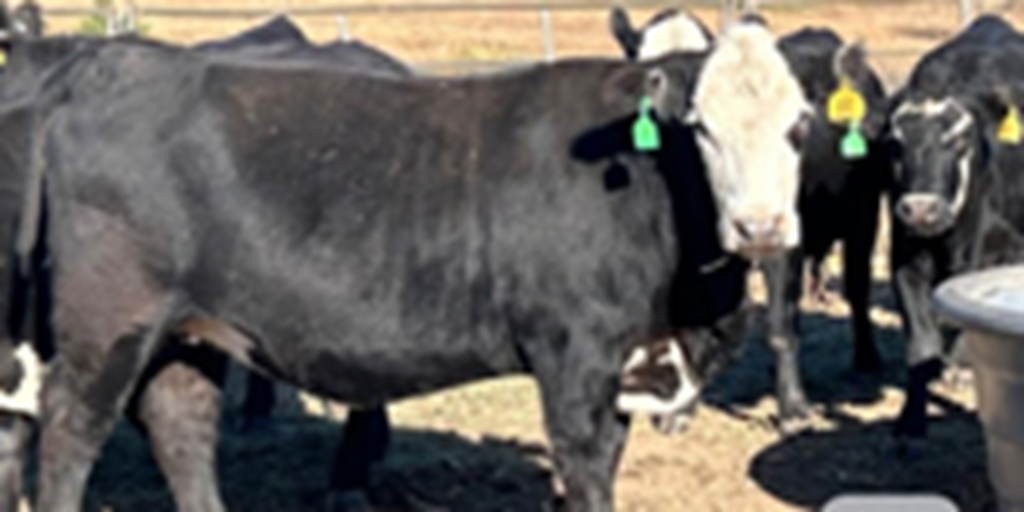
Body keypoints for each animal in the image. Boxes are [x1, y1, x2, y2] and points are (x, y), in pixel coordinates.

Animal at [609, 9, 891, 430]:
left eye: (799, 123)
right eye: (700, 125)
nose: (755, 227)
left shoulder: (783, 241)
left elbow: (780, 326)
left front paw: (793, 408)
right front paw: (679, 410)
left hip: (863, 215)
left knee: (857, 288)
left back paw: (867, 357)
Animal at [885, 14, 1024, 441]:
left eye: (961, 141)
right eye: (895, 144)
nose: (920, 209)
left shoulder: (998, 253)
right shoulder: (904, 260)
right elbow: (921, 344)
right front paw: (911, 418)